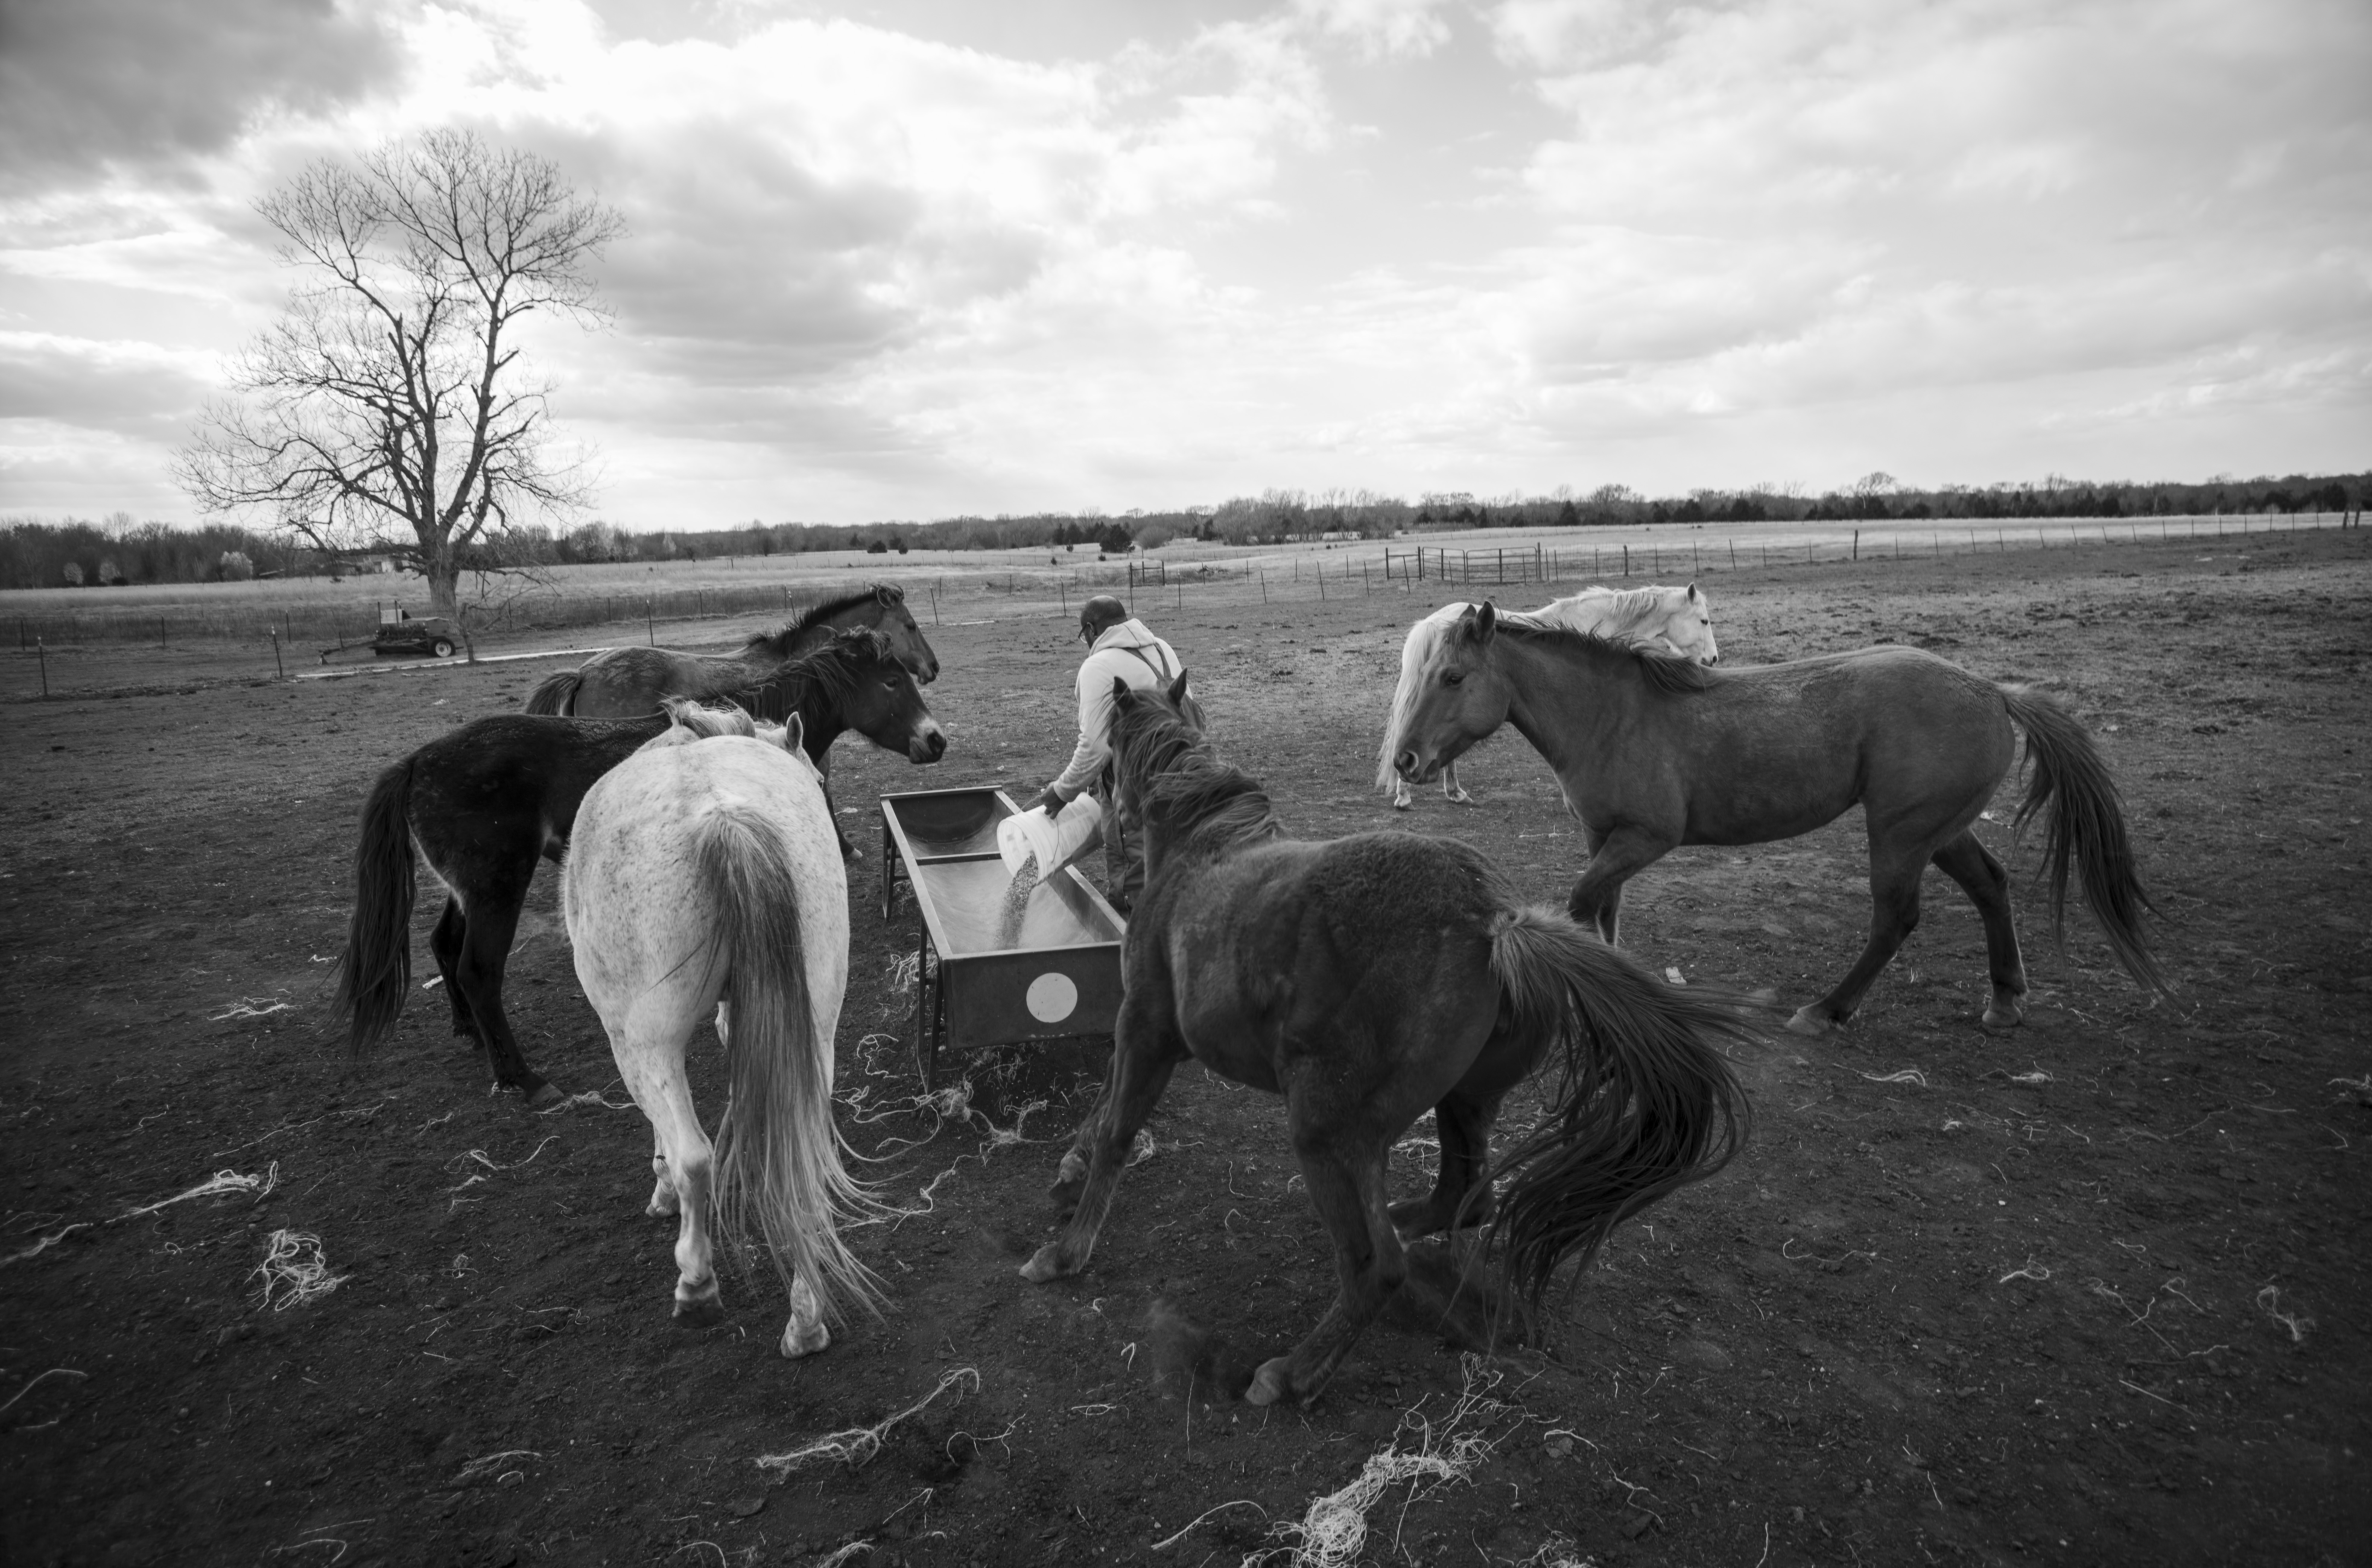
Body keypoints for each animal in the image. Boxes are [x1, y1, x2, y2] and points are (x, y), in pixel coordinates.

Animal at [335, 628, 947, 1105]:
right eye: (892, 682)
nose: (936, 740)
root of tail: (418, 761)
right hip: (497, 889)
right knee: (478, 971)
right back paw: (522, 1078)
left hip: (470, 890)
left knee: (445, 944)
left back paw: (468, 1030)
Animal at [562, 701, 879, 1356]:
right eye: (817, 779)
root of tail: (722, 815)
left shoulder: (635, 1046)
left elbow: (665, 1143)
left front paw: (660, 1195)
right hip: (814, 1029)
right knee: (801, 1157)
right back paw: (805, 1321)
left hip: (645, 1046)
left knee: (694, 1157)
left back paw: (696, 1282)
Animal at [1020, 671, 1755, 1407]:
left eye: (1105, 743)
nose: (1091, 800)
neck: (1199, 846)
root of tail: (1496, 922)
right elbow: (1105, 1111)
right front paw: (1070, 1170)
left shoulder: (1144, 1030)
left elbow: (1116, 1128)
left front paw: (1065, 1250)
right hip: (1459, 1104)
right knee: (1463, 1200)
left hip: (1327, 1131)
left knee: (1378, 1265)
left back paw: (1292, 1373)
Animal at [1392, 603, 2169, 1037]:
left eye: (1453, 677)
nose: (1405, 758)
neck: (1612, 714)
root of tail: (1990, 689)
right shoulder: (1604, 838)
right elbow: (1603, 909)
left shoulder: (1644, 837)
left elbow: (1584, 902)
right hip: (1940, 830)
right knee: (1991, 886)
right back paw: (2004, 1000)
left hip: (1900, 835)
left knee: (1895, 918)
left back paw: (1826, 1011)